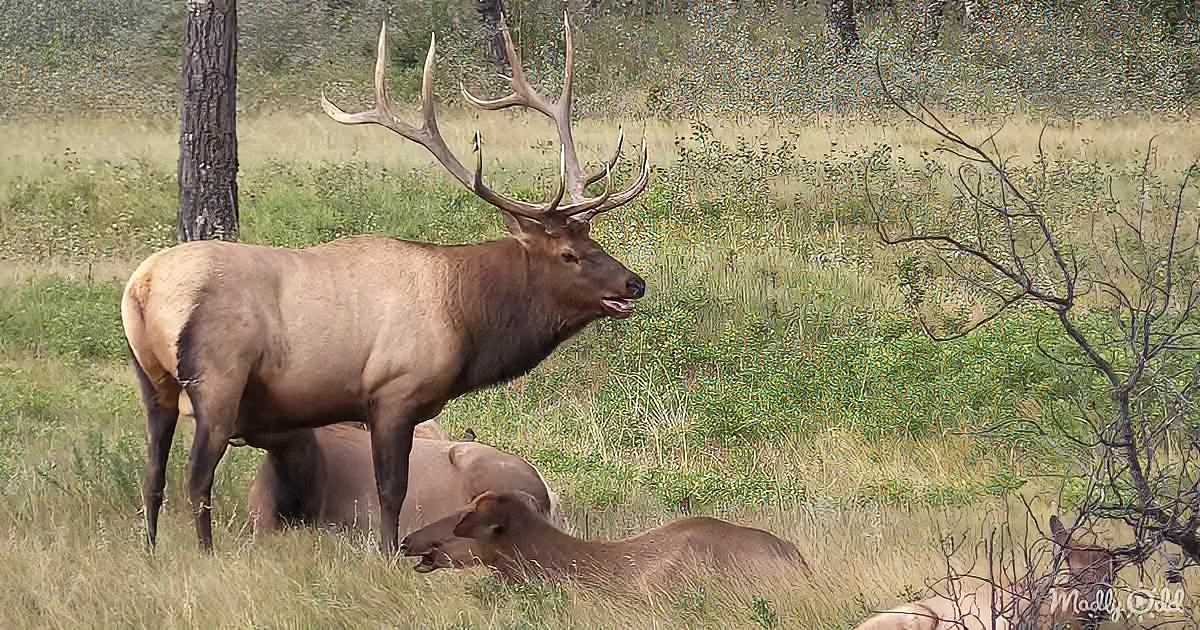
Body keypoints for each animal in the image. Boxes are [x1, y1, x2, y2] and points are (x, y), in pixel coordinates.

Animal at [120, 13, 650, 555]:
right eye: (569, 254)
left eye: (594, 240)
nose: (635, 284)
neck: (465, 320)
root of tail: (142, 288)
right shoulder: (394, 391)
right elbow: (391, 491)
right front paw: (390, 553)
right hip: (217, 377)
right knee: (196, 476)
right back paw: (205, 552)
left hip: (152, 379)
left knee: (153, 474)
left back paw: (151, 548)